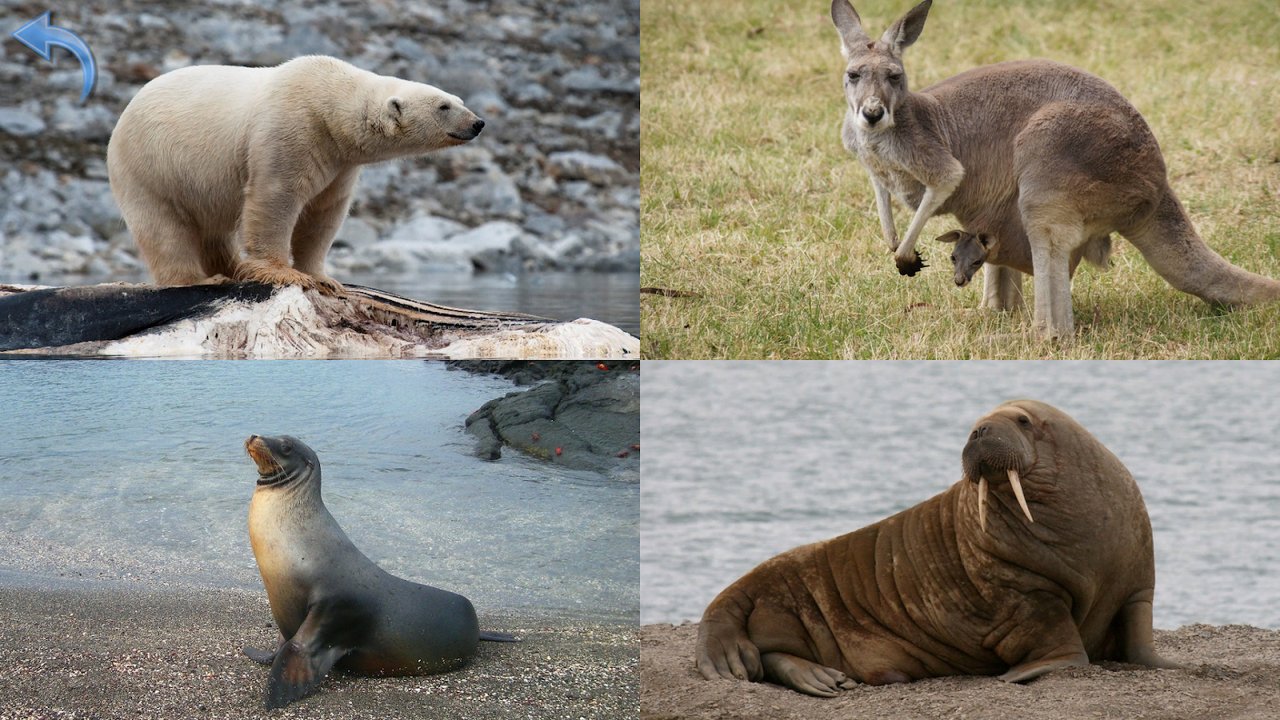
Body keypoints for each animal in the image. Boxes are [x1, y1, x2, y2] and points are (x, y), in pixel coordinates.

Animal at [106, 55, 484, 295]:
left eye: (459, 99)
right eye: (444, 106)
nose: (478, 123)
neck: (331, 102)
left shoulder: (340, 162)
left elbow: (324, 212)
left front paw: (324, 278)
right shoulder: (292, 130)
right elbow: (277, 197)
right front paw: (283, 273)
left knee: (214, 231)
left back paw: (229, 268)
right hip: (150, 167)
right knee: (164, 229)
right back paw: (202, 279)